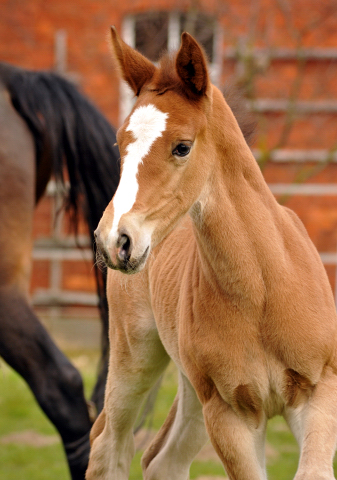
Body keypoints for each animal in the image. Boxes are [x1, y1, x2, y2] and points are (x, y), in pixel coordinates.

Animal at [87, 28, 337, 478]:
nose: (115, 240)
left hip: (189, 388)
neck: (264, 291)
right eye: (120, 143)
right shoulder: (229, 411)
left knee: (161, 459)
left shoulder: (319, 391)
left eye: (182, 147)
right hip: (135, 357)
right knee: (109, 446)